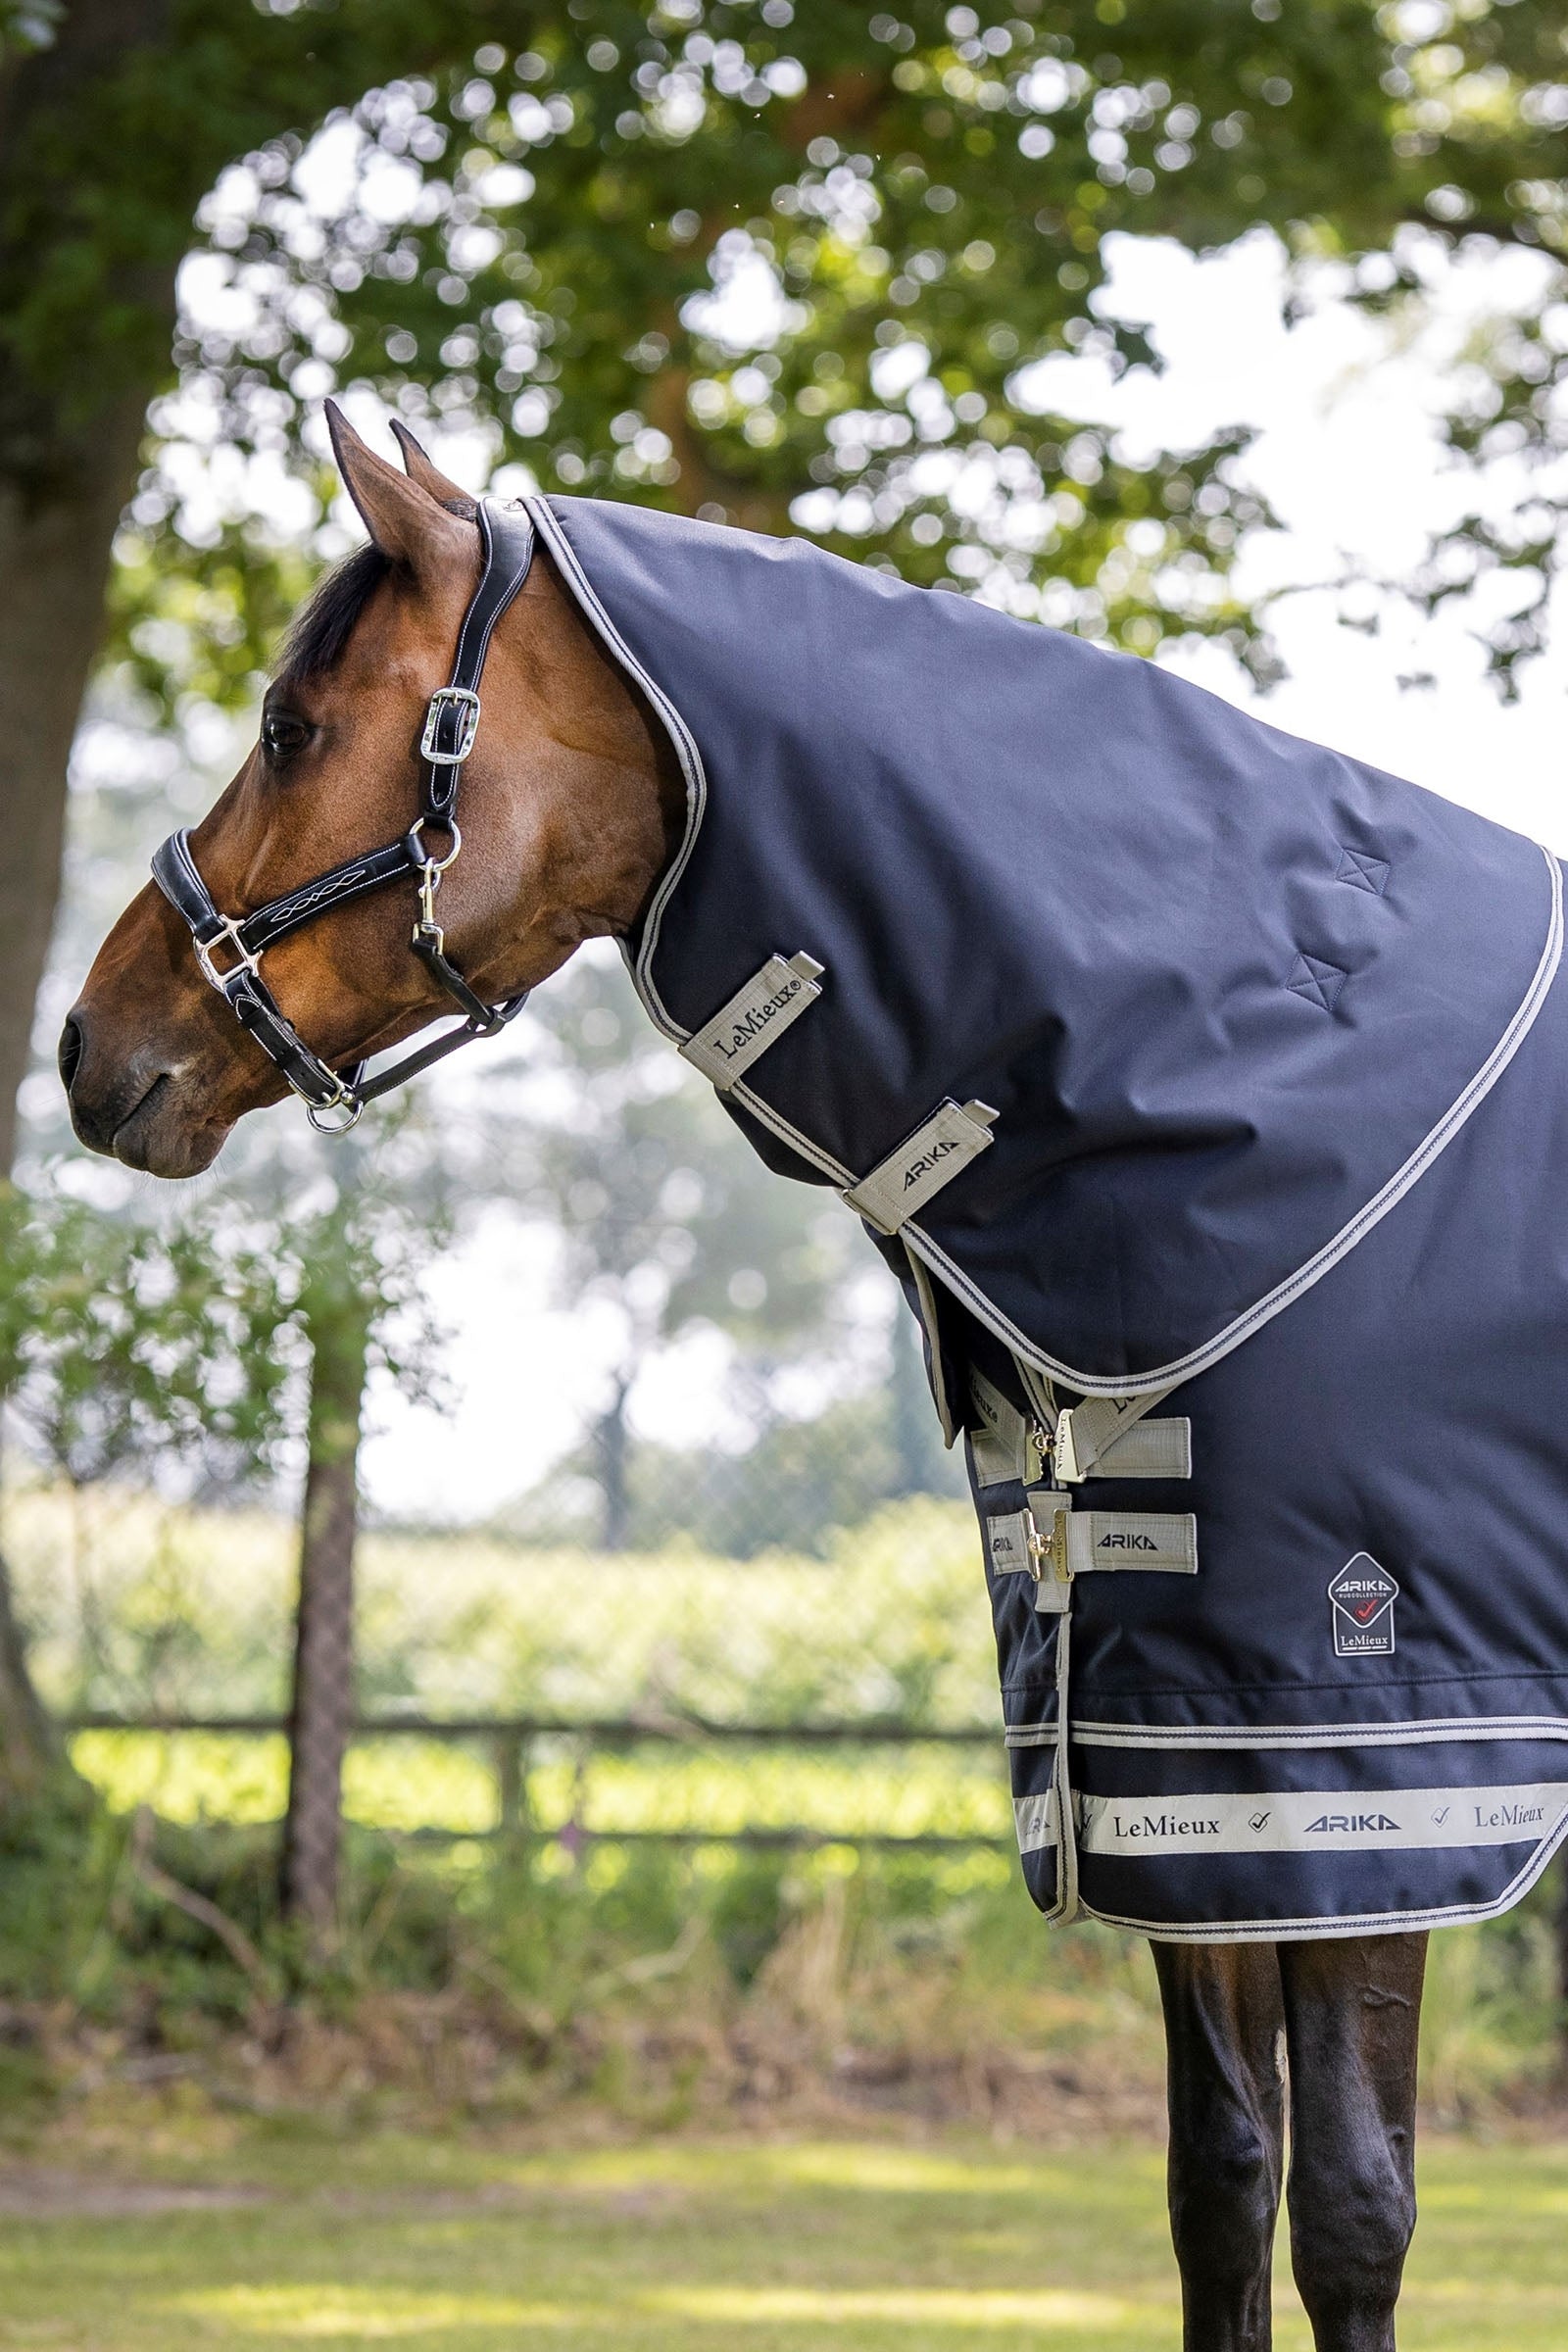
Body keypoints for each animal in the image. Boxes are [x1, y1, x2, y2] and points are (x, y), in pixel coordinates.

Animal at [70, 397, 1522, 2351]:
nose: (89, 1046)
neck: (1295, 1094)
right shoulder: (1180, 1767)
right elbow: (1225, 2188)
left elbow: (1354, 2214)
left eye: (296, 727)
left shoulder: (1363, 1775)